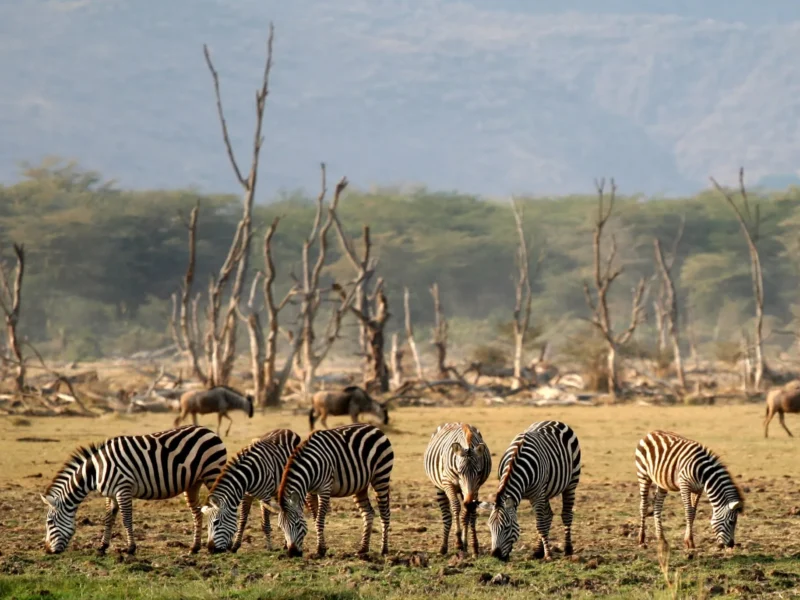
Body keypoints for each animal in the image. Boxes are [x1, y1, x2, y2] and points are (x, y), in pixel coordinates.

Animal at [40, 425, 227, 555]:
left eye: (49, 522)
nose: (47, 550)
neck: (96, 471)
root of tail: (210, 431)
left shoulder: (123, 489)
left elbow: (126, 519)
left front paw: (130, 548)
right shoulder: (110, 494)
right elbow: (108, 518)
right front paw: (102, 546)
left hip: (213, 473)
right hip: (193, 483)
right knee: (197, 512)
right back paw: (194, 547)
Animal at [270, 422, 394, 558]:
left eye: (297, 524)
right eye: (281, 527)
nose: (292, 553)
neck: (310, 468)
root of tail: (374, 427)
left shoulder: (324, 489)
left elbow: (319, 520)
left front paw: (320, 550)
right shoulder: (310, 493)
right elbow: (315, 519)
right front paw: (322, 548)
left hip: (381, 476)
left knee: (385, 514)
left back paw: (384, 550)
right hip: (361, 485)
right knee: (368, 513)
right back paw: (363, 548)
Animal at [423, 422, 492, 555]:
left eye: (479, 472)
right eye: (459, 472)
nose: (469, 503)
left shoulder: (476, 487)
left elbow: (469, 514)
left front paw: (472, 545)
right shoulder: (447, 483)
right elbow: (456, 506)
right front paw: (458, 542)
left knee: (468, 513)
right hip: (439, 487)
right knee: (446, 515)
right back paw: (444, 547)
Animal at [481, 420, 581, 562]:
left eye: (507, 527)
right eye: (490, 527)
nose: (496, 556)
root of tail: (555, 421)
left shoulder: (537, 495)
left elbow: (540, 525)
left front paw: (548, 555)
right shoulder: (536, 495)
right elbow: (542, 522)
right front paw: (542, 552)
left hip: (571, 482)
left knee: (566, 515)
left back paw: (568, 549)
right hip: (546, 492)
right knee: (548, 515)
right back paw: (538, 551)